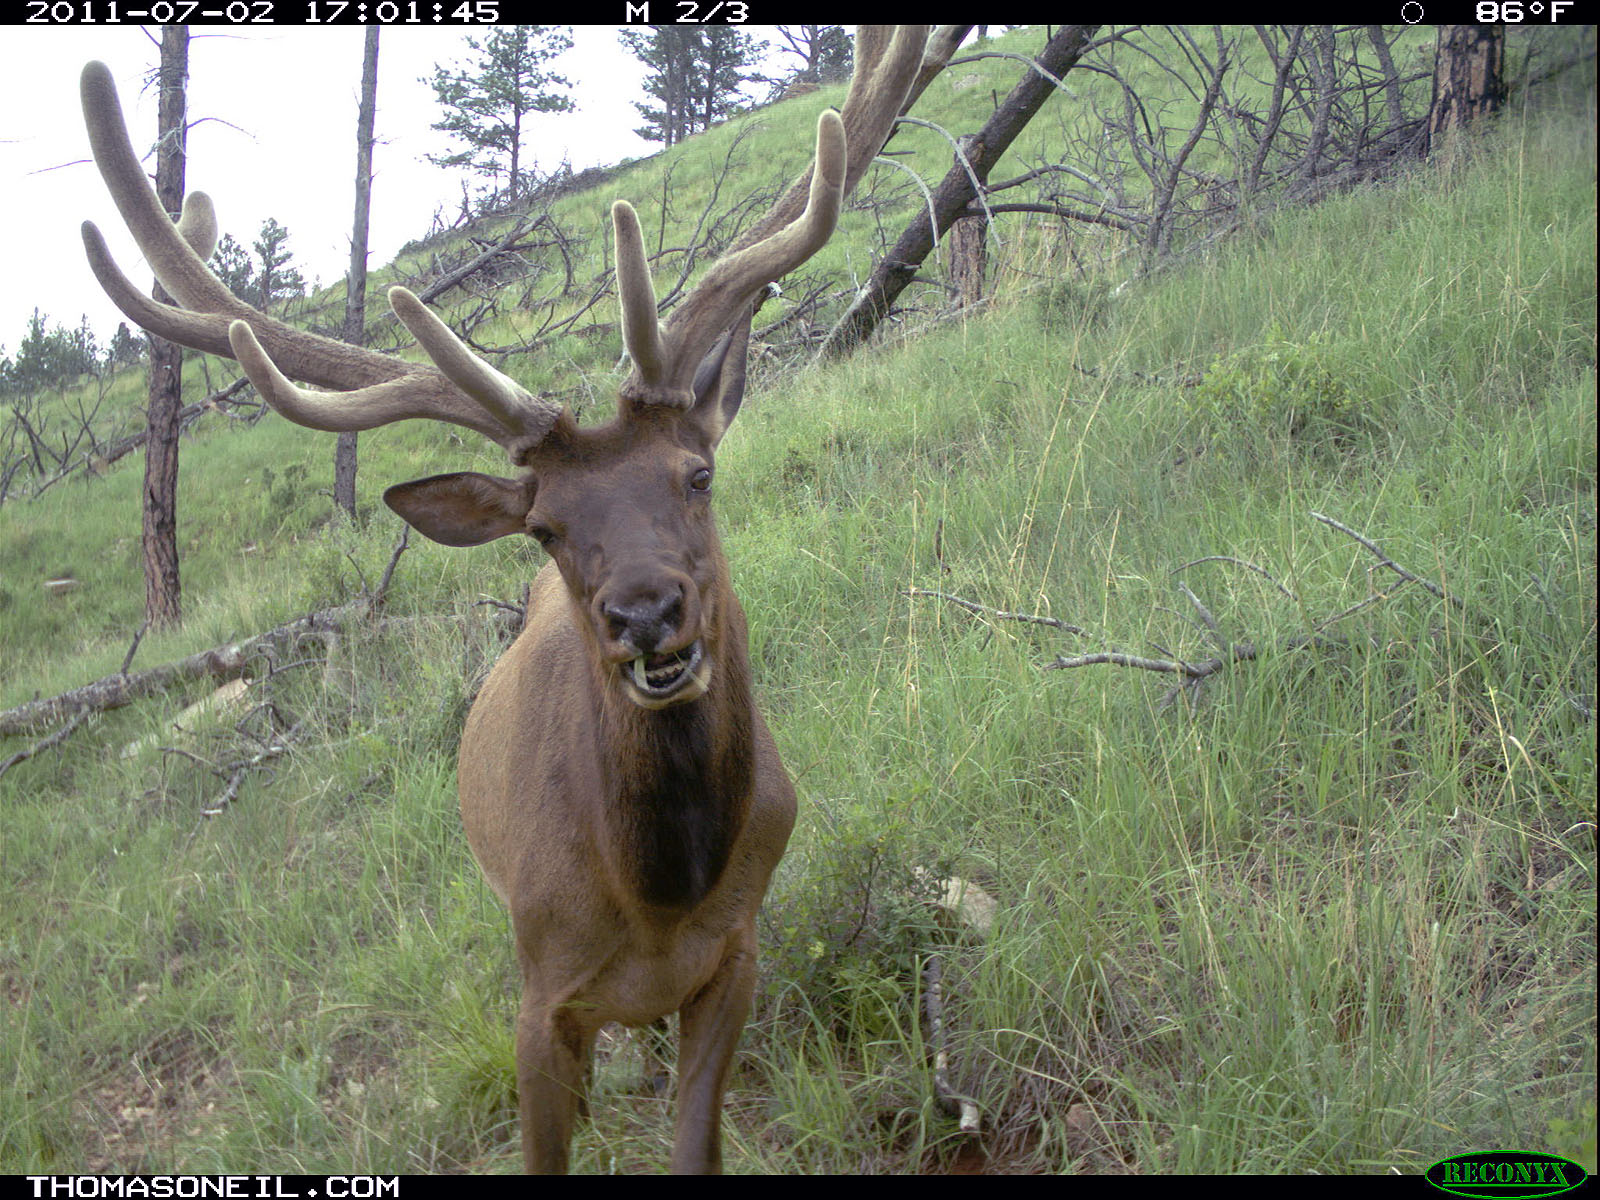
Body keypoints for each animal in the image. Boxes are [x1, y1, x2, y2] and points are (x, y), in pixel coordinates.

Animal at [77, 26, 928, 1174]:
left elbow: (695, 1144)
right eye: (548, 527)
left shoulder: (738, 955)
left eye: (697, 473)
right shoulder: (540, 999)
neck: (660, 900)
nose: (645, 615)